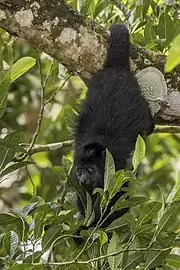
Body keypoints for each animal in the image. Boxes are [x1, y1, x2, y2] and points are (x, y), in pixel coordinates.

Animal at [73, 24, 153, 244]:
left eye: (90, 170)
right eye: (80, 171)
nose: (83, 179)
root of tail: (115, 70)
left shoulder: (115, 168)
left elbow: (118, 199)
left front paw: (91, 229)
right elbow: (85, 198)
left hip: (135, 94)